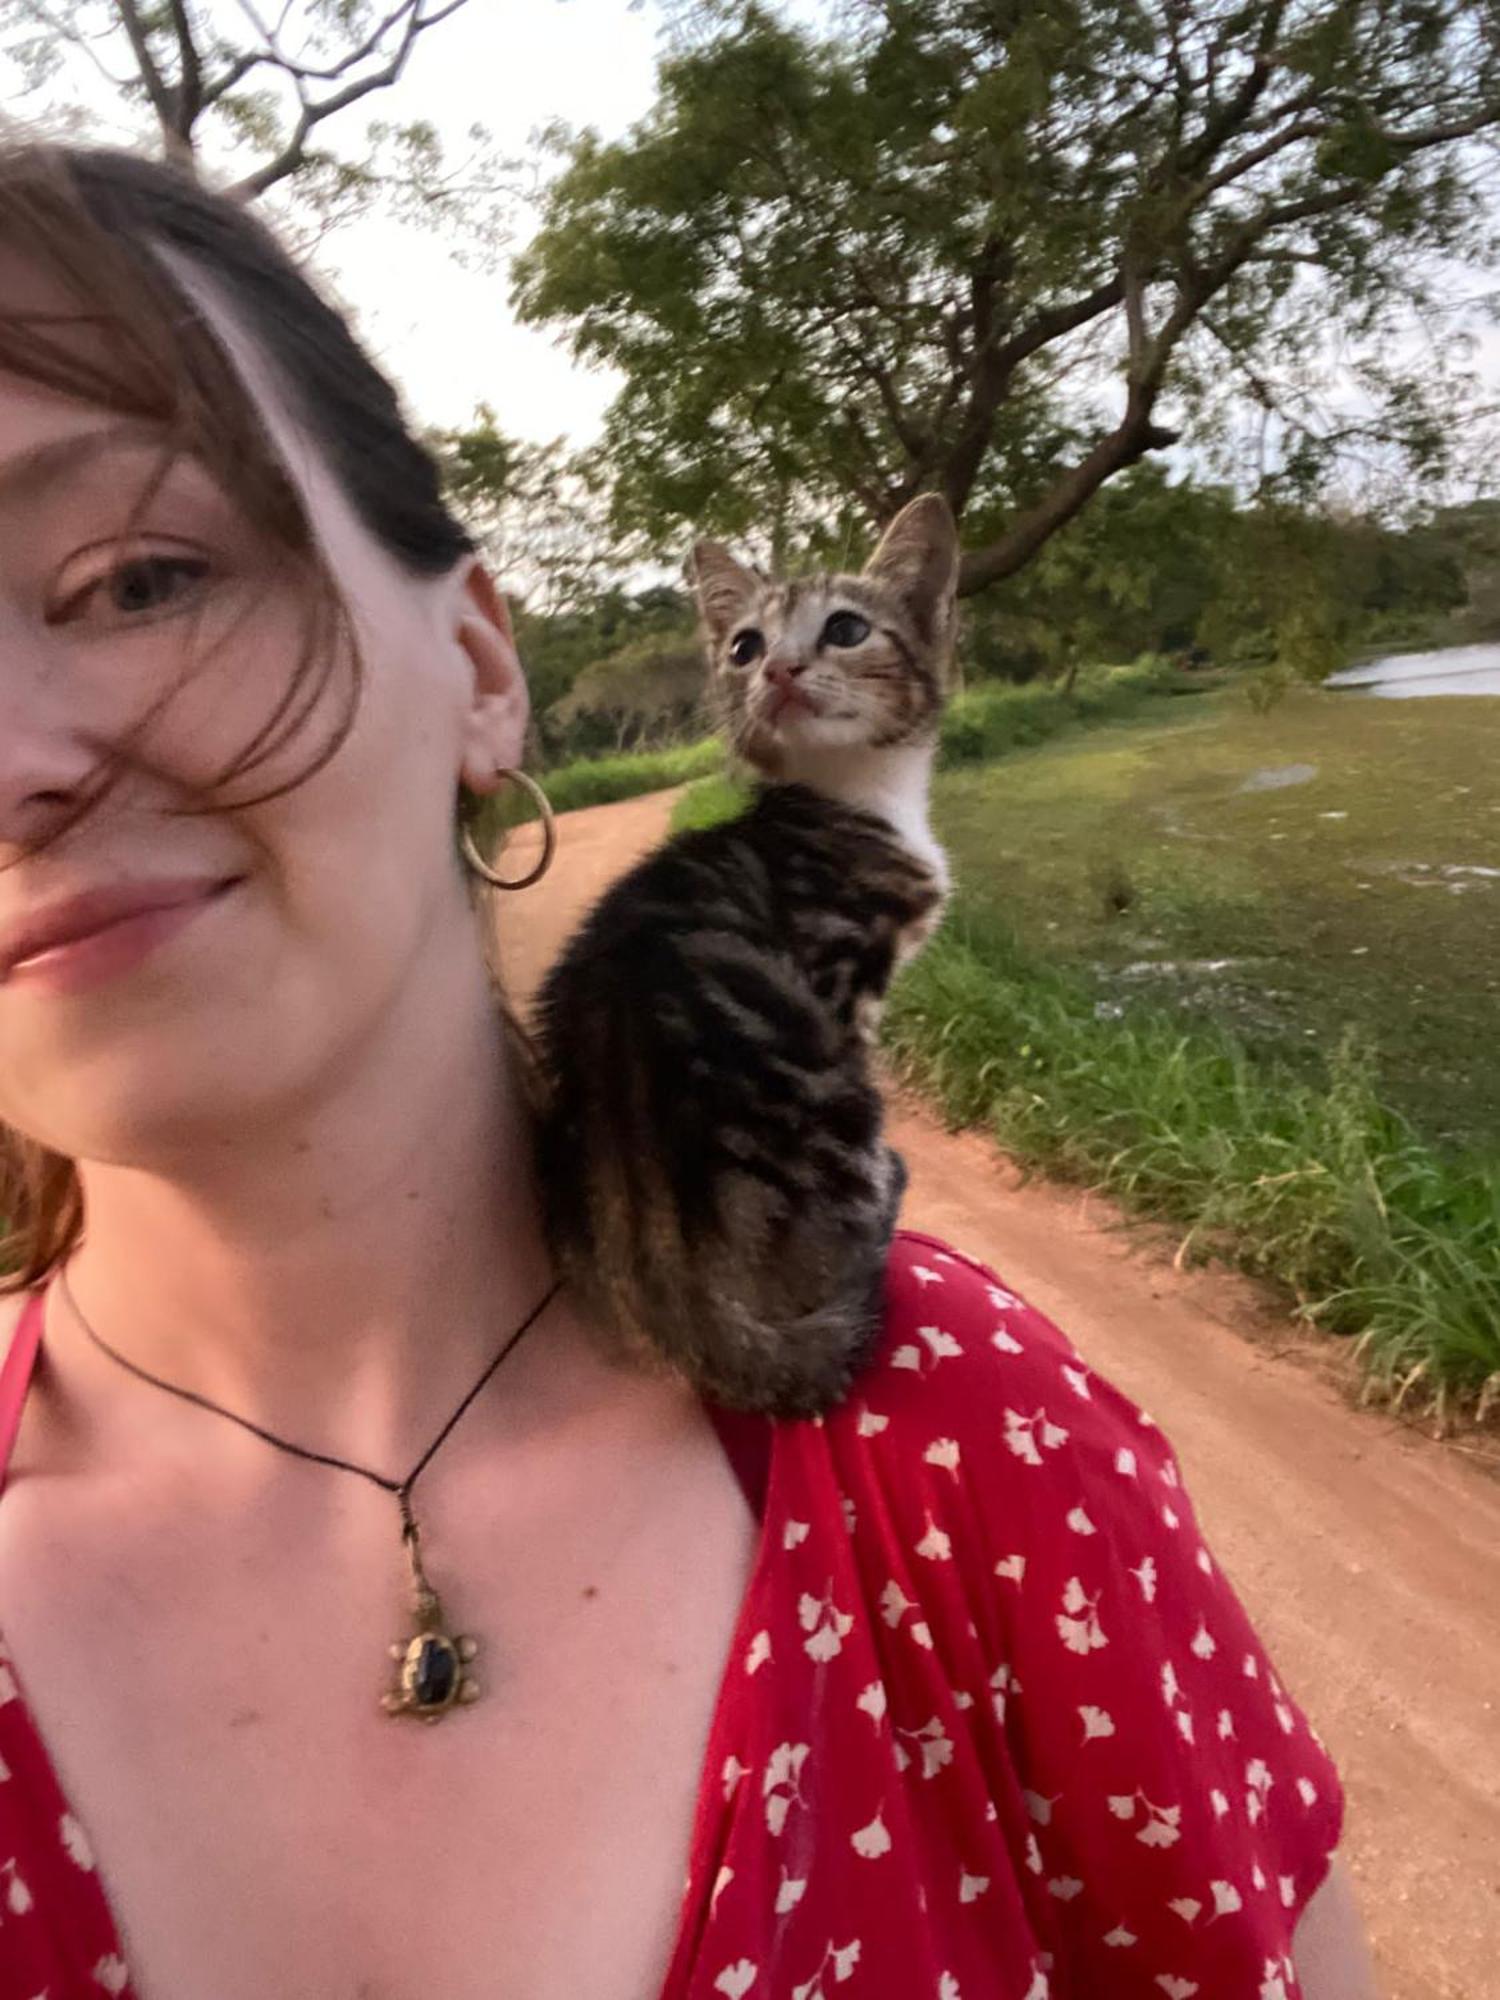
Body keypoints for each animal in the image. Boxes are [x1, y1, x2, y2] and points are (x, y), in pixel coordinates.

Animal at [536, 492, 964, 1416]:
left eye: (846, 629)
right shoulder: (842, 981)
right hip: (826, 1088)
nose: (782, 671)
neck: (851, 795)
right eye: (745, 647)